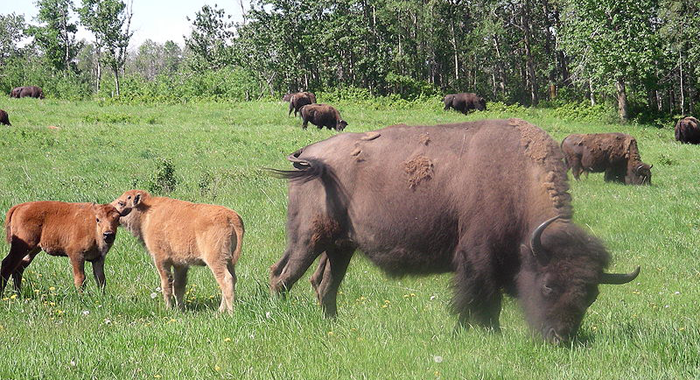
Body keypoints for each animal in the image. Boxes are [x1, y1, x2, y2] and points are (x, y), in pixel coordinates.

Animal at [113, 190, 246, 312]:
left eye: (121, 203)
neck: (147, 213)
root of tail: (231, 217)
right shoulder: (181, 264)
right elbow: (179, 286)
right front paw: (180, 309)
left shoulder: (161, 260)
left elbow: (167, 284)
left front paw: (168, 308)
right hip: (229, 262)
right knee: (232, 279)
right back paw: (220, 311)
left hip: (216, 261)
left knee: (226, 280)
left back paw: (228, 312)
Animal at [270, 119, 644, 344]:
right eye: (549, 285)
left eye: (591, 295)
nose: (560, 338)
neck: (516, 179)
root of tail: (308, 154)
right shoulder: (478, 257)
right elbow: (481, 298)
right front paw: (486, 332)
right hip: (308, 240)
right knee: (283, 277)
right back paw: (281, 318)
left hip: (340, 247)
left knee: (323, 284)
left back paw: (334, 325)